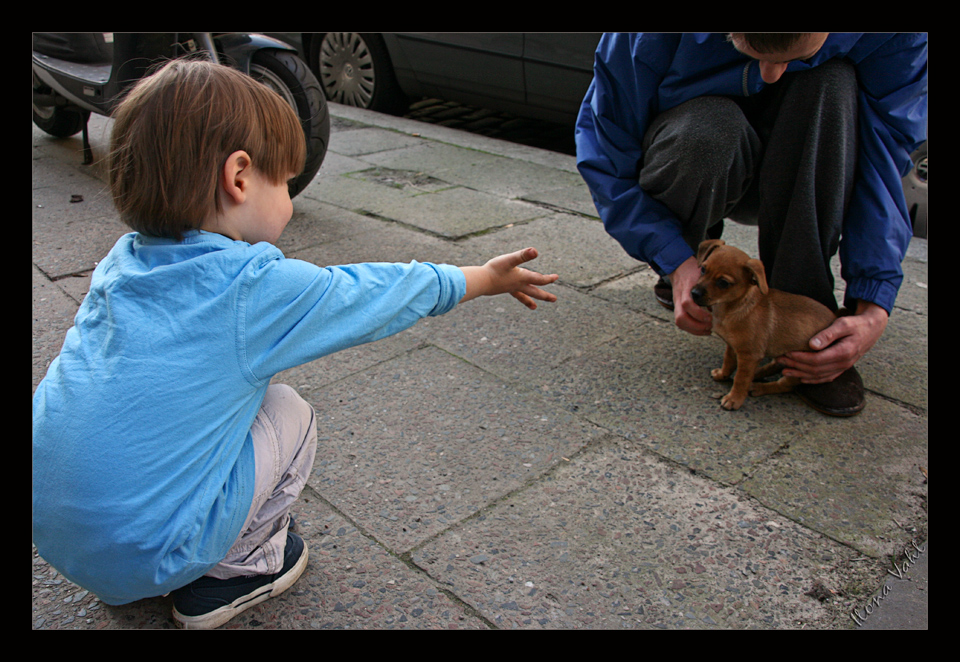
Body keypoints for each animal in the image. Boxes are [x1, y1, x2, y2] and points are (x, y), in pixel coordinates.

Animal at [688, 241, 832, 412]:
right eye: (703, 269)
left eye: (723, 283)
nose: (694, 293)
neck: (731, 307)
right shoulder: (732, 345)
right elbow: (728, 360)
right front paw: (723, 374)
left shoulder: (749, 355)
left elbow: (741, 379)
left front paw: (734, 399)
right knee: (774, 365)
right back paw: (757, 373)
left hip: (799, 370)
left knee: (784, 385)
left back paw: (759, 387)